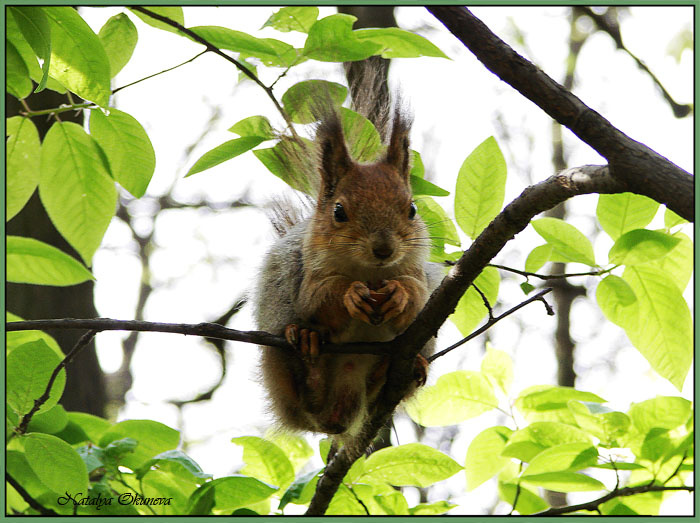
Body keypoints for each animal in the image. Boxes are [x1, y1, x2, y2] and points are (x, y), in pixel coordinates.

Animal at [254, 88, 443, 450]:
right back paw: (309, 349)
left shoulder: (415, 270)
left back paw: (393, 369)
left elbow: (418, 297)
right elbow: (318, 297)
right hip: (277, 354)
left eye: (412, 209)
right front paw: (350, 294)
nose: (383, 249)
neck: (369, 272)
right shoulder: (310, 269)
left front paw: (399, 294)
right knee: (307, 398)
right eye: (339, 211)